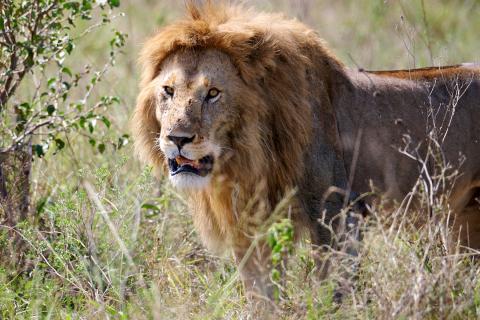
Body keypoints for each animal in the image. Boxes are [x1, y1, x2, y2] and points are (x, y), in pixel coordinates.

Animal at [131, 2, 480, 298]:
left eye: (213, 93)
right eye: (168, 90)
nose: (177, 138)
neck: (250, 152)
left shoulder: (338, 214)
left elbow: (335, 291)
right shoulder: (255, 226)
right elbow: (262, 296)